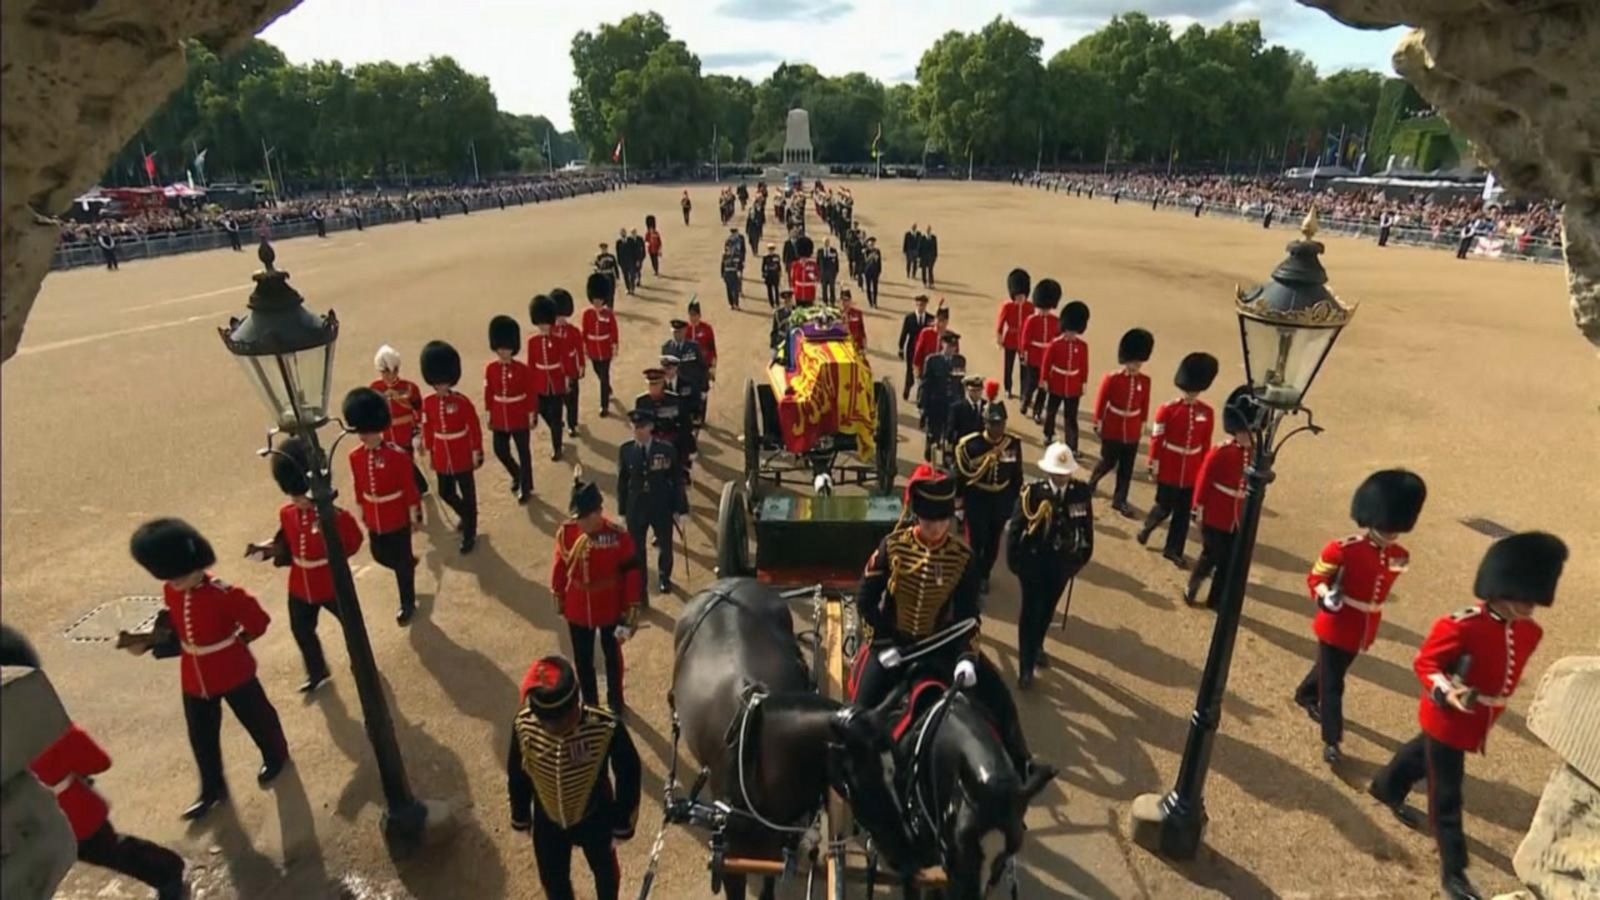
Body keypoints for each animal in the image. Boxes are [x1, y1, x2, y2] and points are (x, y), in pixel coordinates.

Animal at [665, 576, 915, 890]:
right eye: (859, 779)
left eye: (900, 767)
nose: (909, 853)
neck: (754, 749)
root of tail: (733, 581)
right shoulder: (728, 855)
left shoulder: (779, 846)